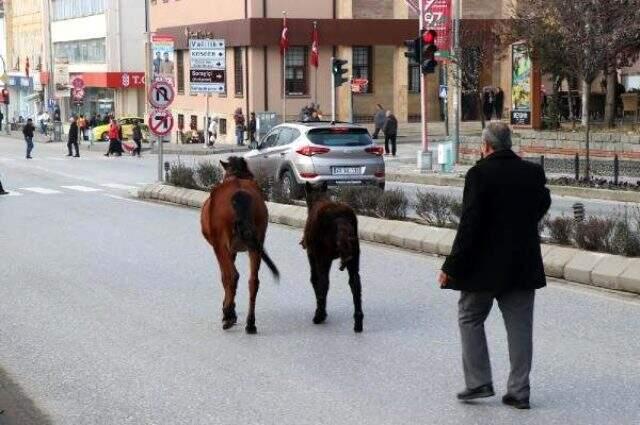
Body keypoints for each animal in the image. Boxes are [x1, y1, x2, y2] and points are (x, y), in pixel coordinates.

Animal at [201, 157, 278, 332]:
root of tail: (240, 195)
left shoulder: (222, 247)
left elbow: (224, 278)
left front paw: (228, 311)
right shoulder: (235, 249)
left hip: (221, 243)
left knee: (232, 276)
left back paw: (228, 316)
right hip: (256, 242)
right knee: (253, 281)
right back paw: (250, 323)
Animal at [302, 181, 362, 332]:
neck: (319, 198)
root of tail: (341, 219)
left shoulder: (312, 255)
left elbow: (315, 280)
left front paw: (321, 310)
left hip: (323, 256)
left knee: (323, 282)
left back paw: (319, 316)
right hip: (354, 255)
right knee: (355, 283)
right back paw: (358, 322)